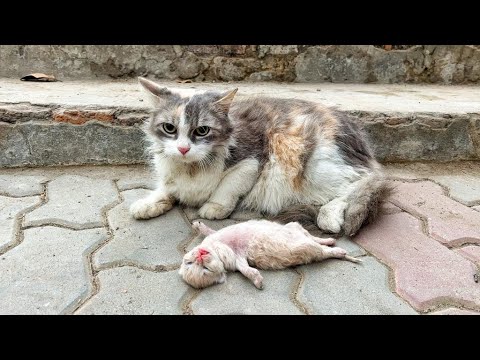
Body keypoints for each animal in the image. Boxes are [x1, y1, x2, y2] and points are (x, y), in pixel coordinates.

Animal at [131, 77, 390, 236]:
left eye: (202, 131)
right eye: (169, 128)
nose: (183, 149)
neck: (192, 168)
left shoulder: (252, 160)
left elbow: (227, 187)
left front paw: (214, 207)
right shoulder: (170, 174)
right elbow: (166, 189)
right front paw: (149, 203)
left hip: (314, 164)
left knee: (356, 185)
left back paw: (329, 217)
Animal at [180, 219, 360, 290]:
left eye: (188, 262)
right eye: (205, 271)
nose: (200, 255)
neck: (217, 249)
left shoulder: (221, 240)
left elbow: (209, 231)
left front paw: (198, 225)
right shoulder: (238, 259)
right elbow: (247, 270)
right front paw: (258, 280)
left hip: (294, 226)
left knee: (312, 236)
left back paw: (330, 240)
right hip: (308, 247)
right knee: (323, 251)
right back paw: (338, 250)